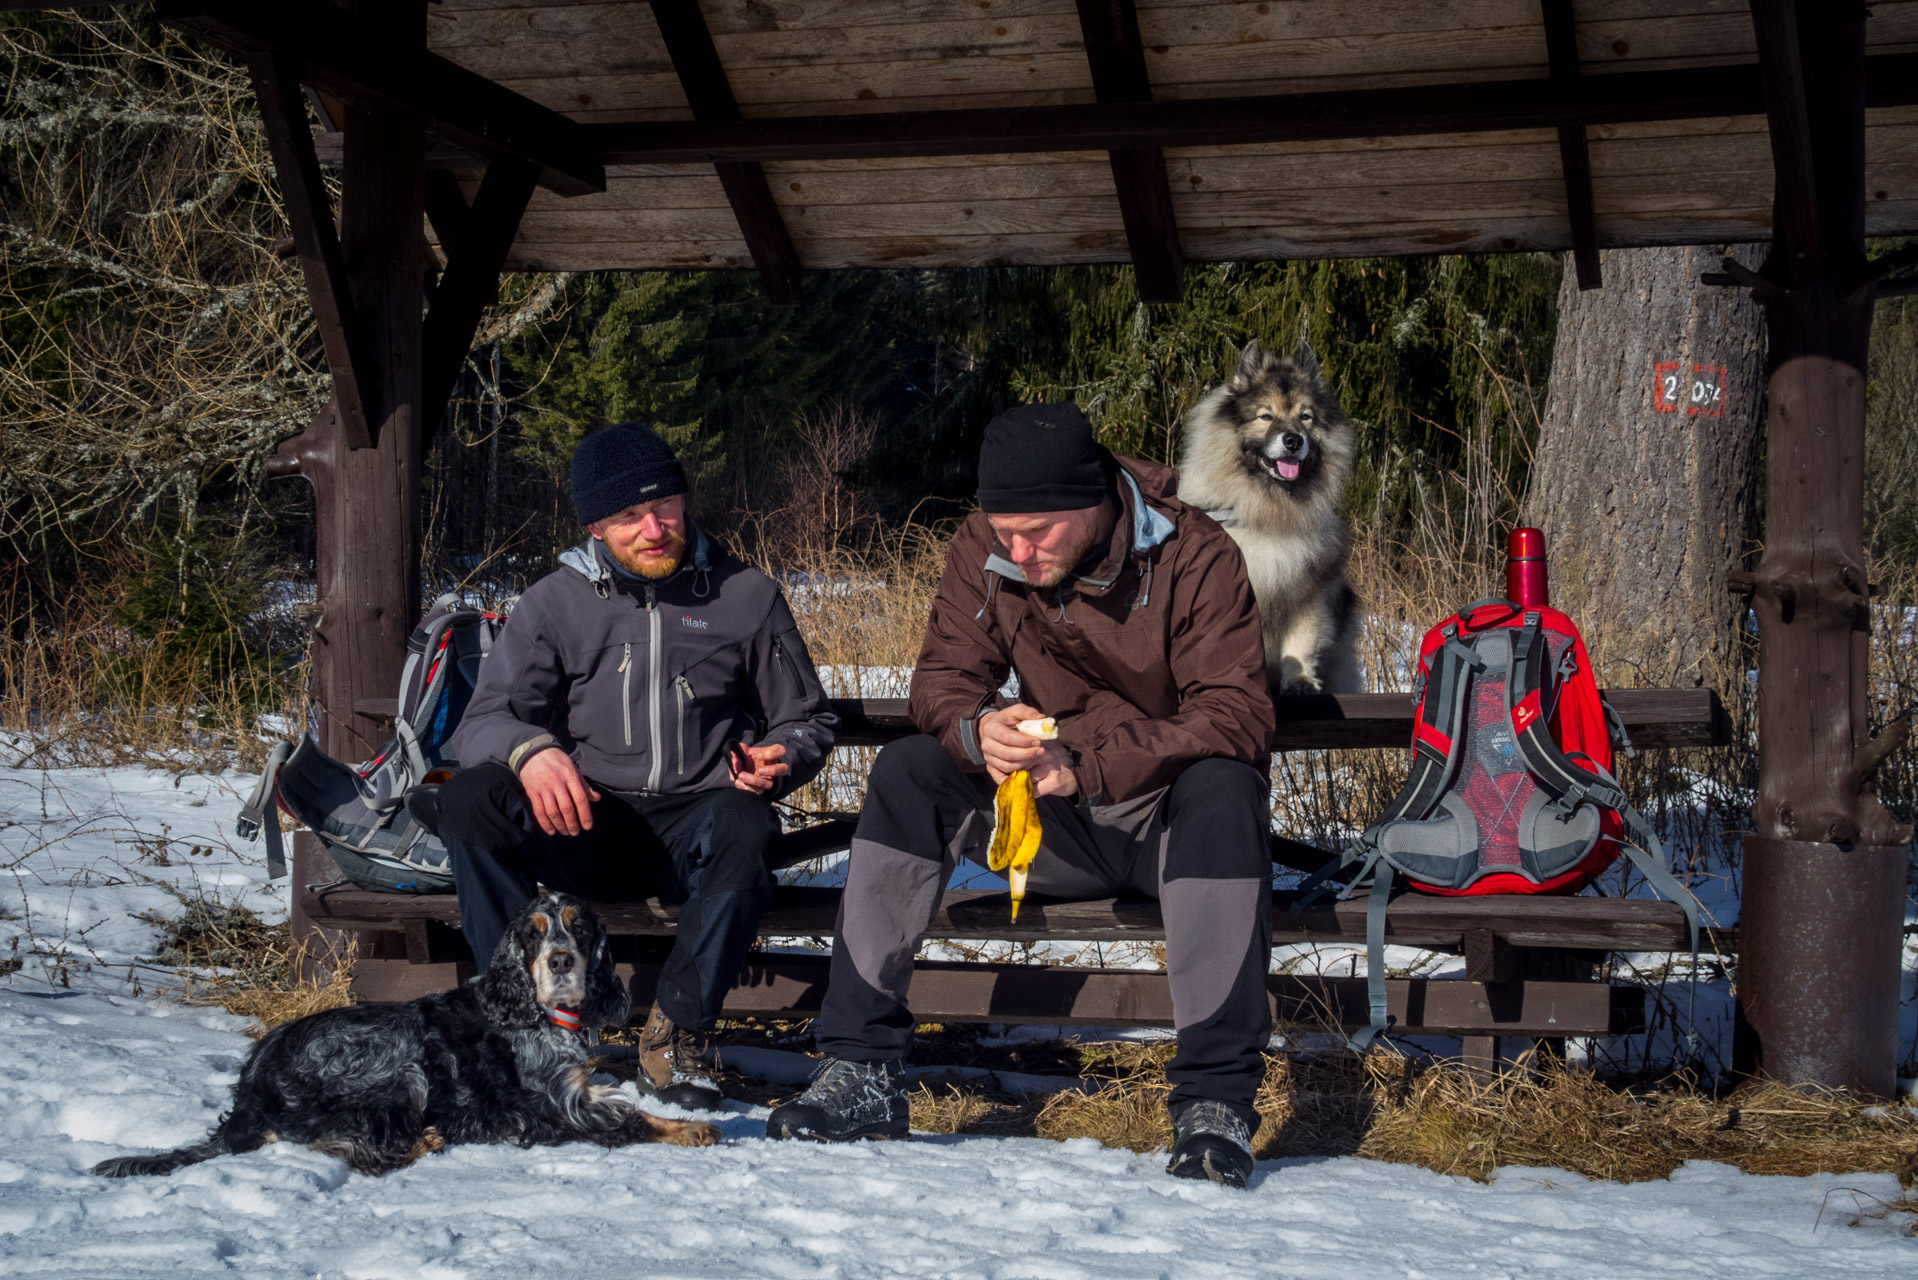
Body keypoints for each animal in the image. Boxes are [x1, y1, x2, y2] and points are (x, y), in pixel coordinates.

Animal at [1173, 337, 1357, 690]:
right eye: (1266, 416)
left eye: (1306, 417)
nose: (1293, 440)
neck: (1267, 510)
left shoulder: (1309, 589)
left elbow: (1302, 640)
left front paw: (1300, 679)